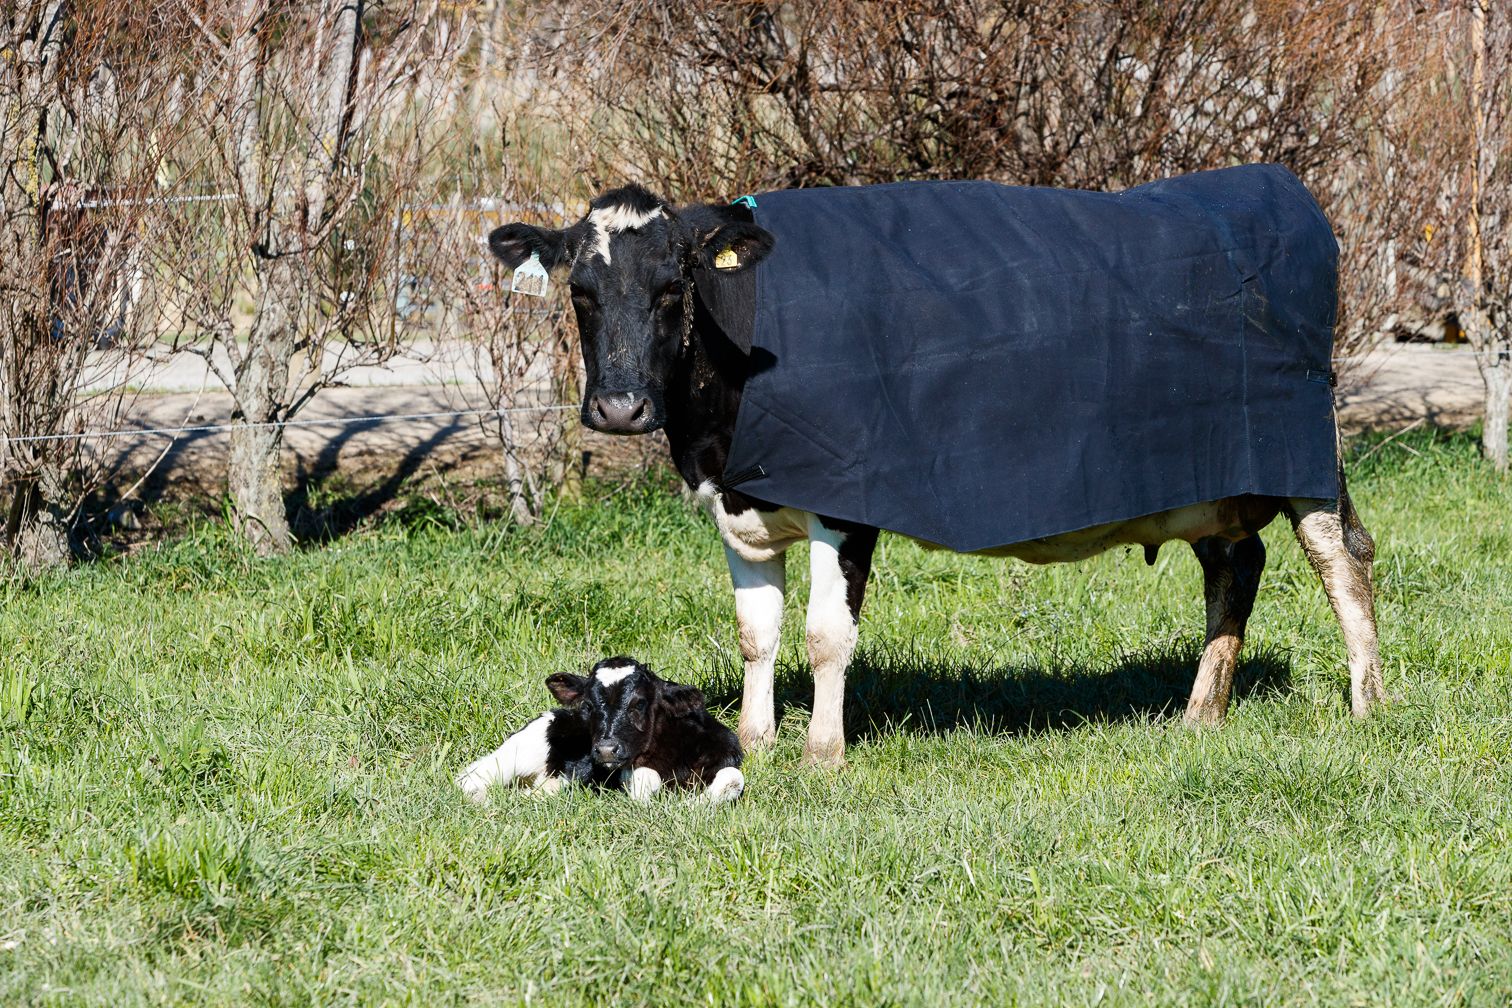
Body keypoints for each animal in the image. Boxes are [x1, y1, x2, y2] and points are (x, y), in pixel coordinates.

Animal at [456, 658, 746, 810]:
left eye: (639, 703)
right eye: (588, 705)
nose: (606, 750)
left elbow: (733, 778)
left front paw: (692, 805)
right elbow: (645, 777)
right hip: (519, 750)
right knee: (470, 777)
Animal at [483, 185, 1384, 764]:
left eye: (675, 285)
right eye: (581, 291)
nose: (620, 407)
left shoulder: (845, 503)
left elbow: (824, 634)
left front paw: (823, 753)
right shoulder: (739, 510)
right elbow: (755, 633)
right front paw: (760, 739)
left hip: (1303, 448)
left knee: (1342, 559)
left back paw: (1368, 705)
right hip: (1206, 478)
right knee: (1237, 564)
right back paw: (1202, 714)